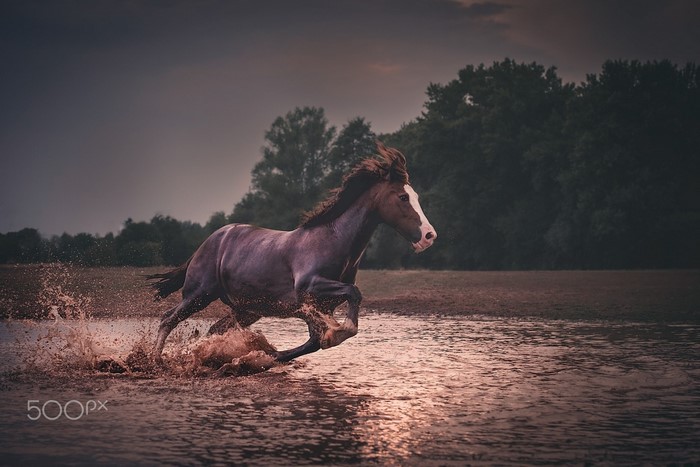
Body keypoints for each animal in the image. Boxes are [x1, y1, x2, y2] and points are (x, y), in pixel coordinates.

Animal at [148, 142, 436, 362]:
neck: (333, 240)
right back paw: (155, 360)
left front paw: (259, 357)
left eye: (416, 196)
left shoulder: (320, 305)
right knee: (167, 319)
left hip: (247, 309)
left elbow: (314, 342)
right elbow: (353, 297)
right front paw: (340, 331)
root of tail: (209, 242)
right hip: (199, 294)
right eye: (402, 197)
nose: (429, 236)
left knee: (213, 330)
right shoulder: (309, 288)